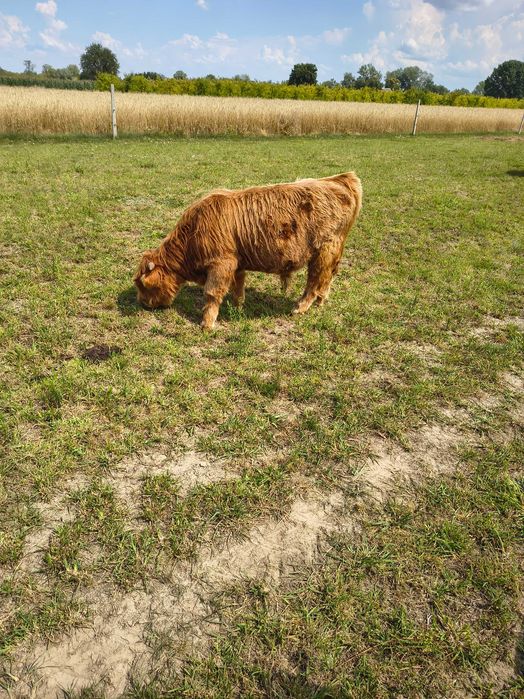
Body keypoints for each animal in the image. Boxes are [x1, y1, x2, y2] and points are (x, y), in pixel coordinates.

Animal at [134, 172, 362, 330]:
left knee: (315, 280)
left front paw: (207, 324)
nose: (143, 304)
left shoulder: (221, 263)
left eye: (144, 285)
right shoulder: (237, 263)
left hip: (324, 250)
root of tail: (339, 179)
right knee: (328, 277)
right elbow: (238, 286)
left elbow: (211, 293)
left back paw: (300, 308)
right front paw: (237, 306)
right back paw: (321, 302)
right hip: (332, 252)